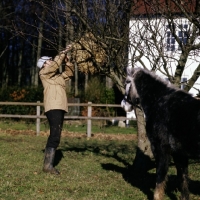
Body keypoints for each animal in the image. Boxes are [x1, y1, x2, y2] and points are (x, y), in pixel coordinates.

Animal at [121, 67, 200, 200]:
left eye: (127, 81)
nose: (123, 104)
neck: (159, 100)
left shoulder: (161, 149)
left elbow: (160, 176)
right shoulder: (179, 154)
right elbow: (183, 180)